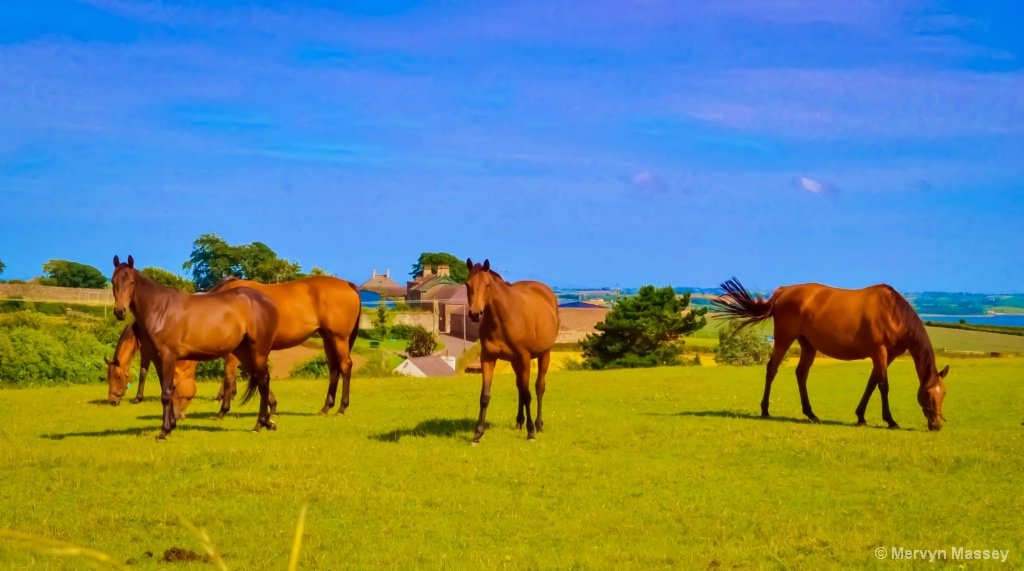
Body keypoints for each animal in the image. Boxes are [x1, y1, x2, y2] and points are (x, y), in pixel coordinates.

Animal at [111, 254, 278, 437]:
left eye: (131, 282)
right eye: (113, 281)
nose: (119, 311)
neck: (160, 310)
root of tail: (268, 302)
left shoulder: (168, 357)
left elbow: (166, 393)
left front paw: (164, 431)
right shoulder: (159, 358)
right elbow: (167, 389)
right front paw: (171, 425)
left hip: (259, 351)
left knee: (263, 379)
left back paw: (260, 424)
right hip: (244, 352)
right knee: (261, 380)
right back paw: (266, 422)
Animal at [202, 276, 360, 419]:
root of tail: (348, 284)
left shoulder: (235, 352)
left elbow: (229, 376)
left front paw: (222, 410)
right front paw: (272, 406)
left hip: (340, 338)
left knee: (345, 366)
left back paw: (342, 407)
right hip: (328, 338)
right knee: (334, 369)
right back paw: (326, 407)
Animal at [466, 259, 561, 444]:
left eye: (487, 285)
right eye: (467, 284)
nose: (475, 313)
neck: (503, 317)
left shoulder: (524, 357)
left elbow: (527, 395)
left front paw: (531, 433)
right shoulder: (488, 358)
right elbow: (485, 396)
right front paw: (477, 434)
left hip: (544, 354)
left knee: (539, 387)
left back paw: (538, 424)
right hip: (515, 362)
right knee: (519, 387)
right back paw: (519, 422)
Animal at [712, 280, 942, 431]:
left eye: (944, 394)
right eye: (928, 394)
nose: (937, 425)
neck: (892, 312)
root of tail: (783, 292)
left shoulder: (888, 355)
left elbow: (872, 383)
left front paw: (861, 417)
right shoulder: (880, 351)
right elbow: (883, 385)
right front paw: (890, 420)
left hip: (808, 345)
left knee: (801, 374)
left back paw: (811, 414)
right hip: (785, 338)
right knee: (772, 369)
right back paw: (765, 411)